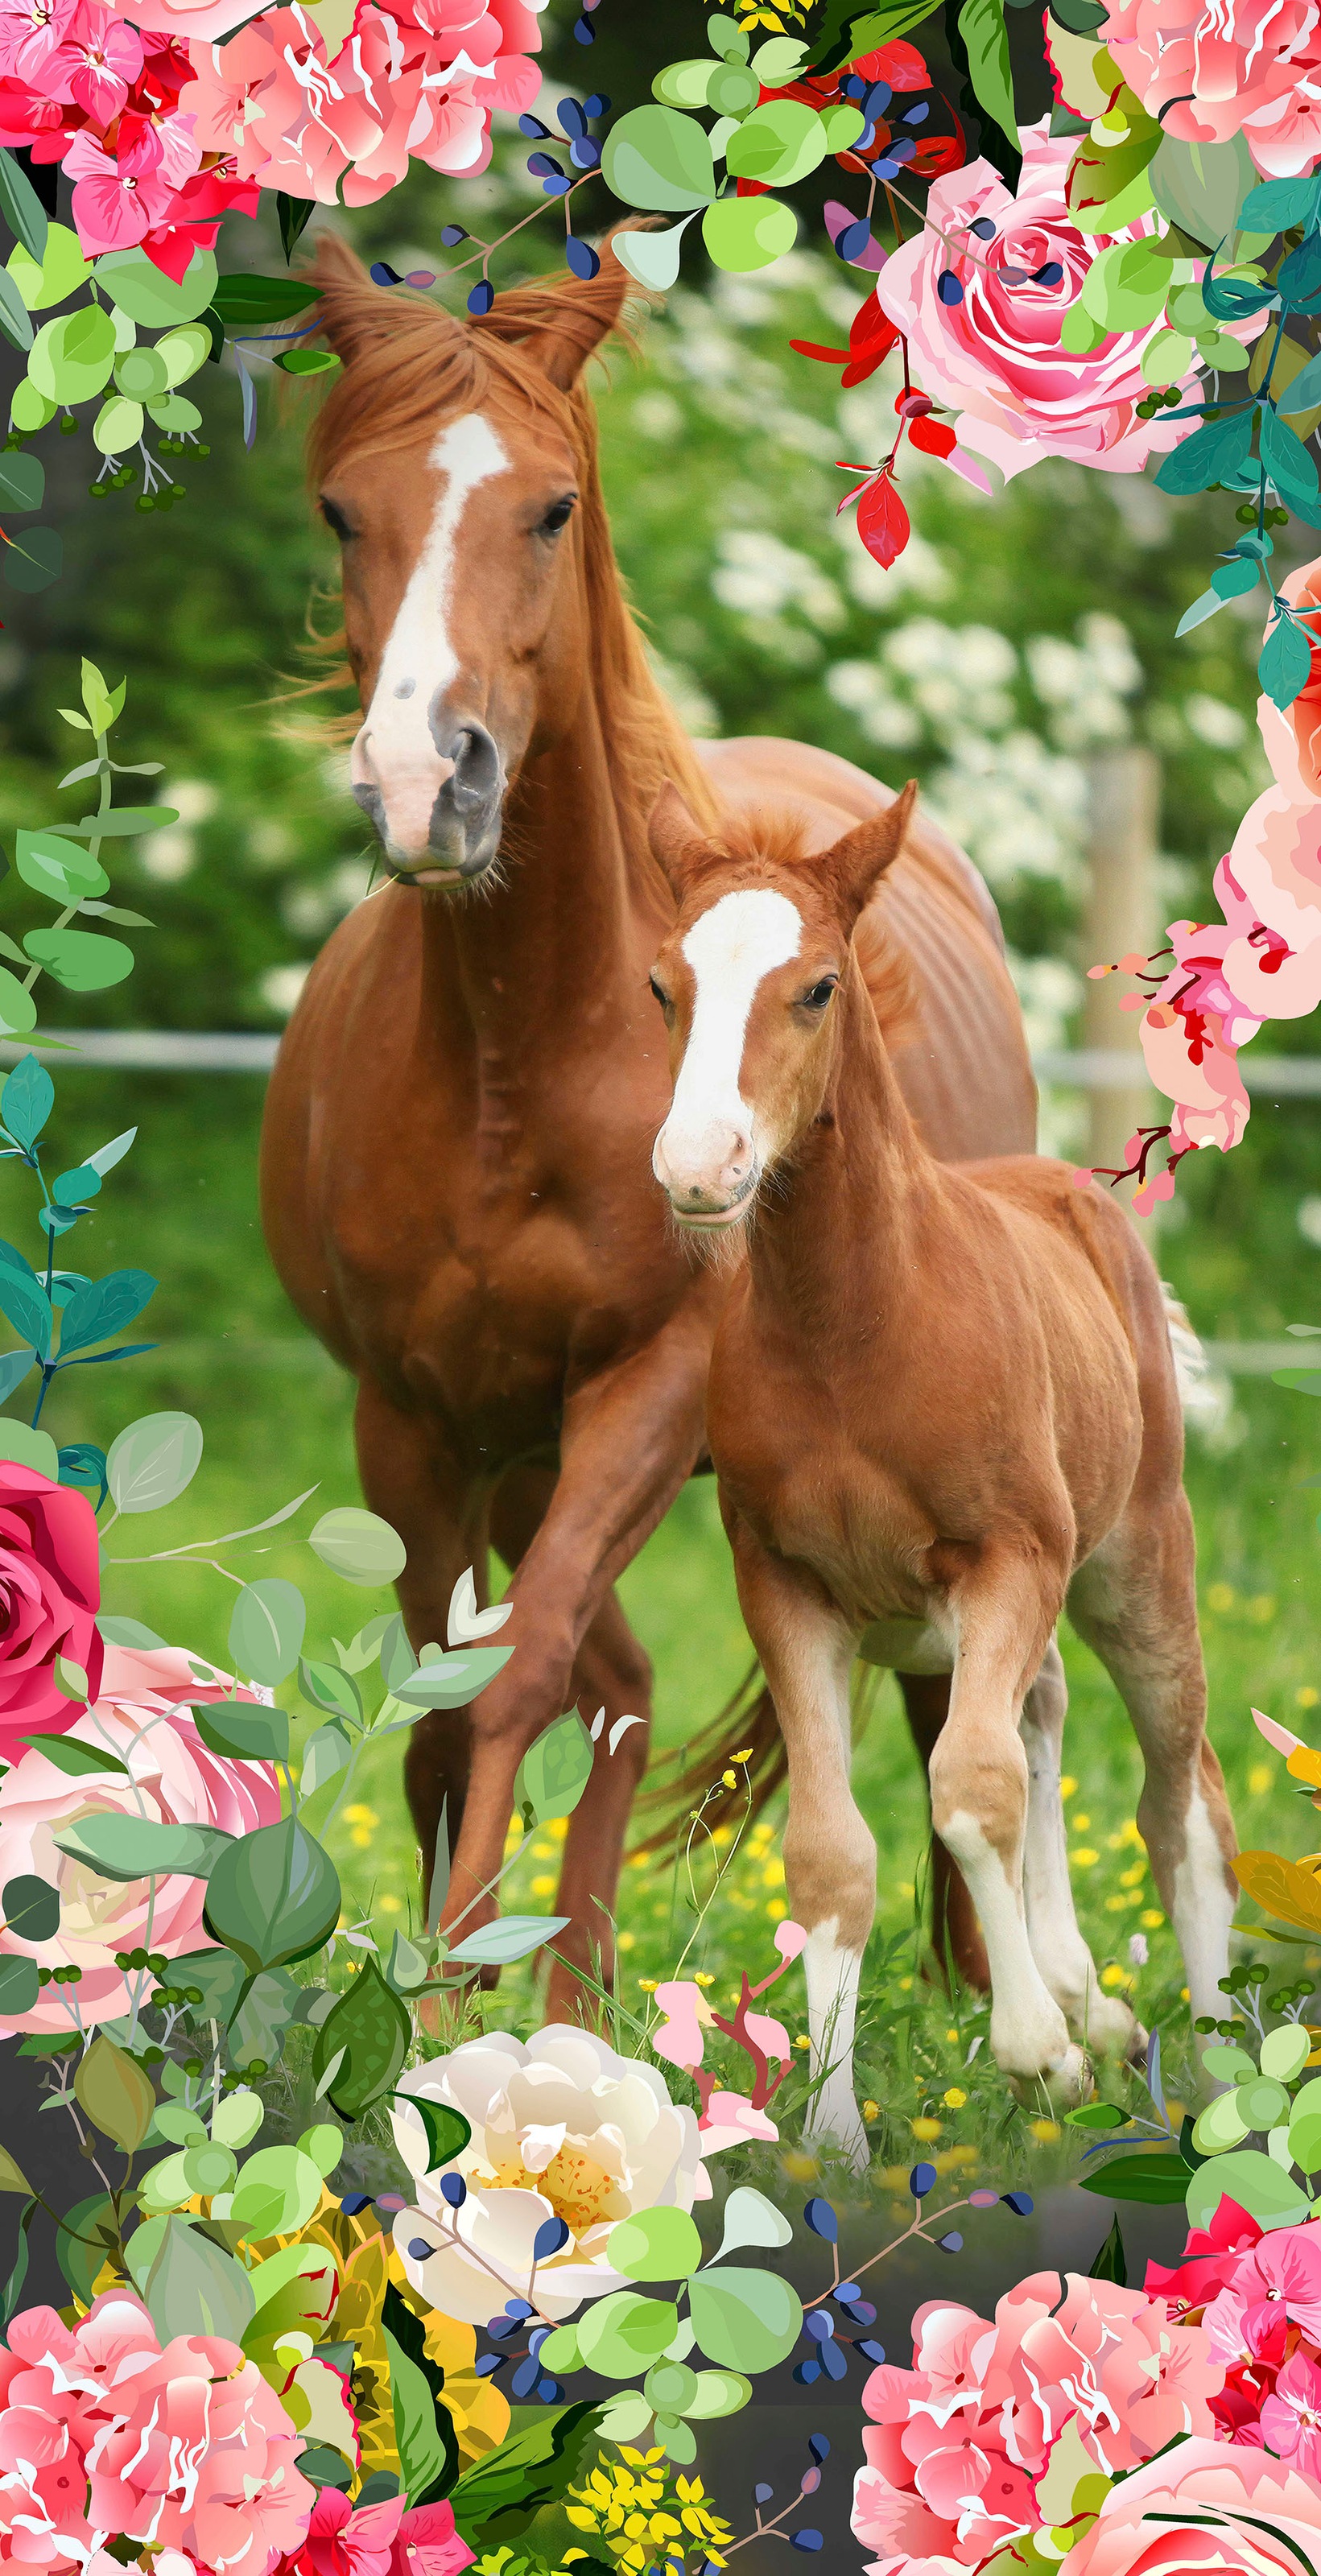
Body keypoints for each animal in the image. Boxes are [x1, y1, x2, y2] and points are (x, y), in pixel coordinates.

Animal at [259, 232, 1039, 2016]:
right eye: (341, 510)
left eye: (551, 507)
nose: (431, 782)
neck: (522, 1057)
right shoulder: (412, 1417)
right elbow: (450, 1703)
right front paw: (458, 2002)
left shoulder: (648, 1384)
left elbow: (512, 1677)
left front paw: (449, 2016)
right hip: (514, 1455)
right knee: (611, 1683)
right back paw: (580, 1993)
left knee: (891, 1692)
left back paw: (969, 2001)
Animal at [643, 784, 1238, 2158]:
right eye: (661, 986)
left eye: (814, 988)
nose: (698, 1169)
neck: (853, 1326)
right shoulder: (787, 1589)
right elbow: (832, 1854)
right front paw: (831, 2138)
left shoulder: (1008, 1559)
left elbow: (968, 1791)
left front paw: (1038, 2055)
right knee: (1045, 1719)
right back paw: (1091, 1997)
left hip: (1135, 1562)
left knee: (1177, 1799)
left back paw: (1223, 2063)